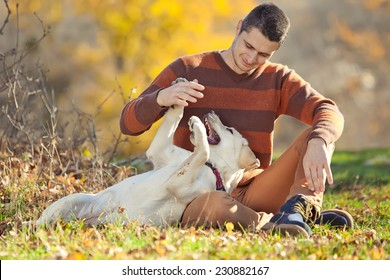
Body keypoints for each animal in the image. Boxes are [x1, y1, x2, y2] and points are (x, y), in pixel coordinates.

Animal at [37, 98, 258, 225]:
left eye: (229, 130)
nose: (212, 112)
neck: (213, 167)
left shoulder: (180, 184)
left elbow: (202, 150)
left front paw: (197, 125)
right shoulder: (161, 152)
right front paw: (179, 97)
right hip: (69, 200)